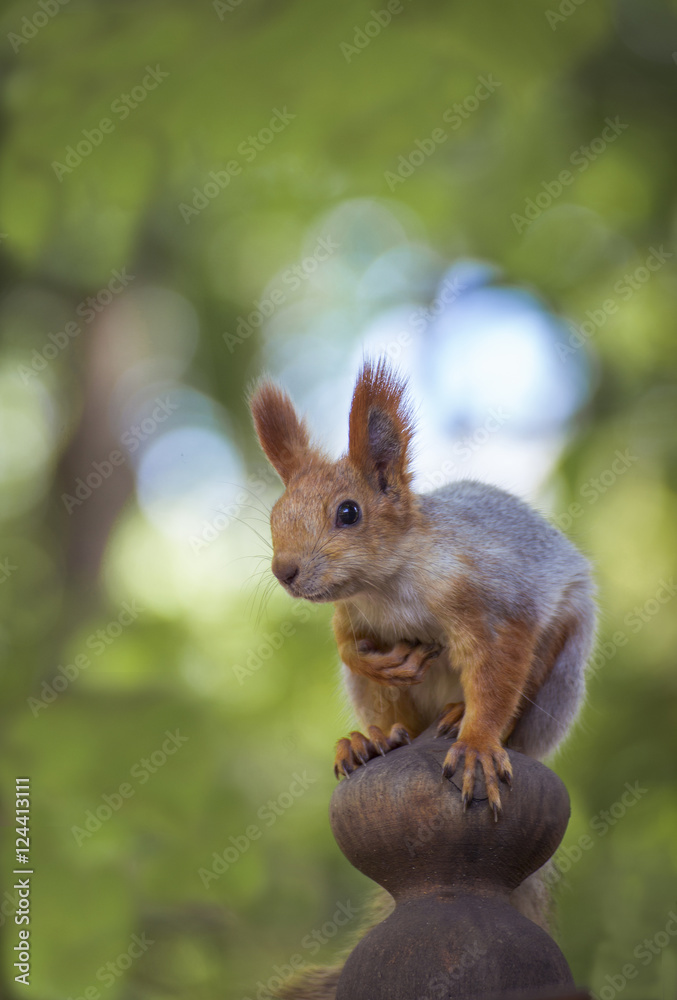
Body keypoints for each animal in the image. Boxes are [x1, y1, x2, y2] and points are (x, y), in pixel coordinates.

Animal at [249, 357, 596, 994]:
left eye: (349, 512)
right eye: (275, 516)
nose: (285, 571)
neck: (385, 587)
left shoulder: (494, 600)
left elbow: (500, 667)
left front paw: (478, 740)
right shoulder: (351, 613)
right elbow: (346, 645)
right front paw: (373, 661)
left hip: (562, 674)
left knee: (531, 686)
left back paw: (461, 719)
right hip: (381, 702)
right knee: (398, 721)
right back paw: (372, 741)